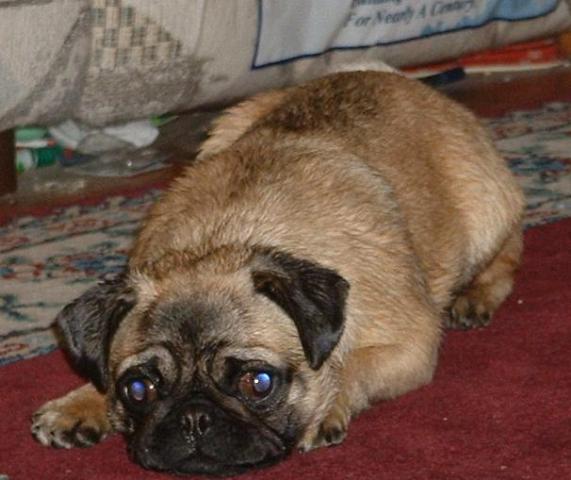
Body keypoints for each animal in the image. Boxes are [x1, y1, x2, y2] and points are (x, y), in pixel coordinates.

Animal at [31, 71, 524, 476]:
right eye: (138, 388)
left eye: (259, 383)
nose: (194, 418)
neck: (221, 241)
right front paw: (82, 402)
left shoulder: (412, 345)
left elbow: (349, 368)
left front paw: (328, 405)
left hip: (485, 216)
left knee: (508, 254)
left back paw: (476, 297)